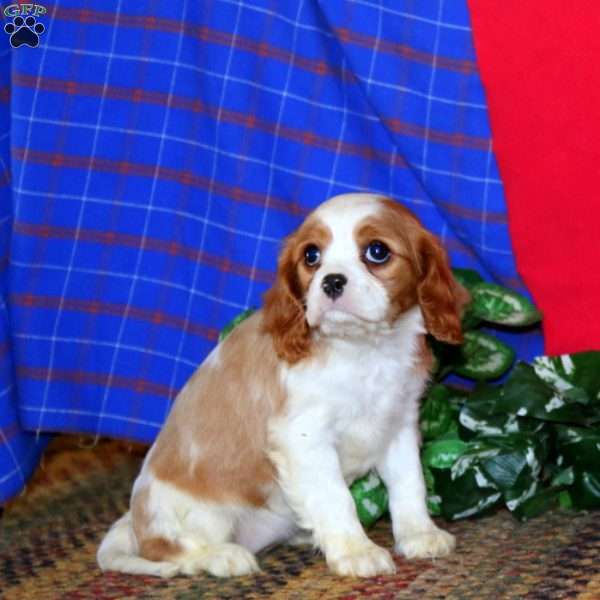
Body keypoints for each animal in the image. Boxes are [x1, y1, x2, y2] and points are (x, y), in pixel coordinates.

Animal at [97, 192, 468, 576]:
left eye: (377, 251)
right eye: (311, 256)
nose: (331, 281)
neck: (364, 349)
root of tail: (133, 519)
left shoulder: (398, 424)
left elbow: (410, 483)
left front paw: (420, 535)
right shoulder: (304, 436)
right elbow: (336, 496)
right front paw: (356, 552)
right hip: (195, 516)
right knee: (167, 549)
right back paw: (221, 556)